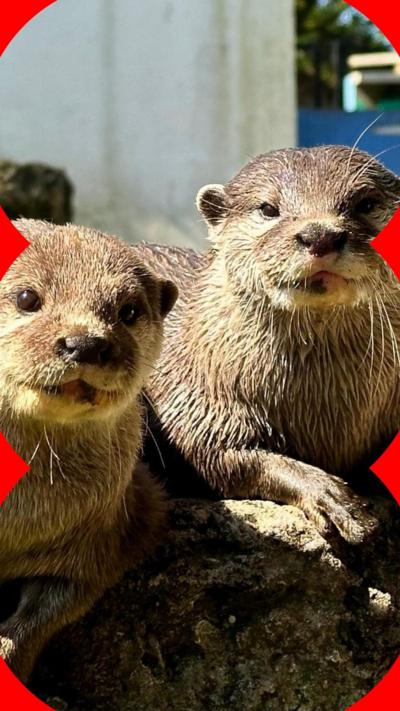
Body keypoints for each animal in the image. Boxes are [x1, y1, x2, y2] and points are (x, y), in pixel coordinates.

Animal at [138, 146, 400, 544]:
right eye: (267, 208)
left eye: (366, 203)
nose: (319, 234)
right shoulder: (198, 407)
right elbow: (227, 458)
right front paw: (333, 498)